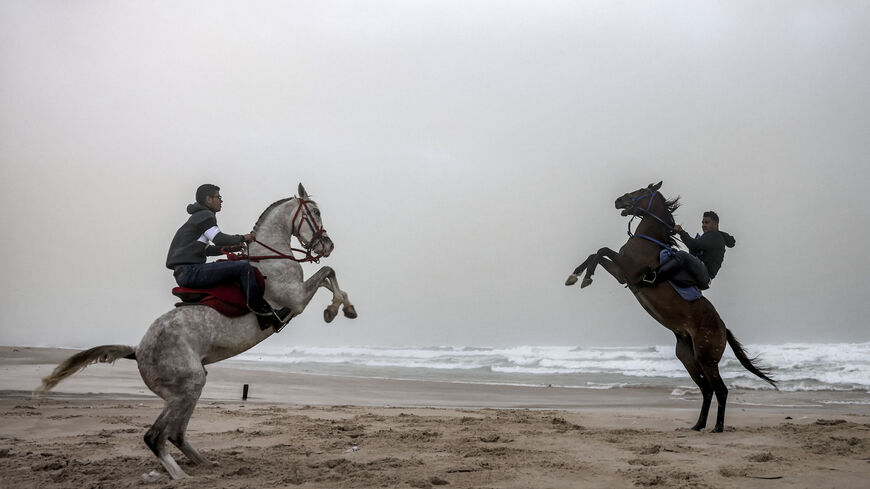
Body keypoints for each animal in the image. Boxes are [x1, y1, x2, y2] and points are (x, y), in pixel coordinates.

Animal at [568, 180, 780, 430]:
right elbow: (597, 253)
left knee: (720, 390)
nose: (619, 200)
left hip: (707, 359)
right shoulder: (622, 274)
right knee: (707, 389)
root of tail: (722, 327)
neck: (648, 240)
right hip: (688, 357)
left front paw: (583, 278)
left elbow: (601, 251)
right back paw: (698, 425)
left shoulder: (627, 269)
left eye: (642, 191)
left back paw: (717, 427)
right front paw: (576, 276)